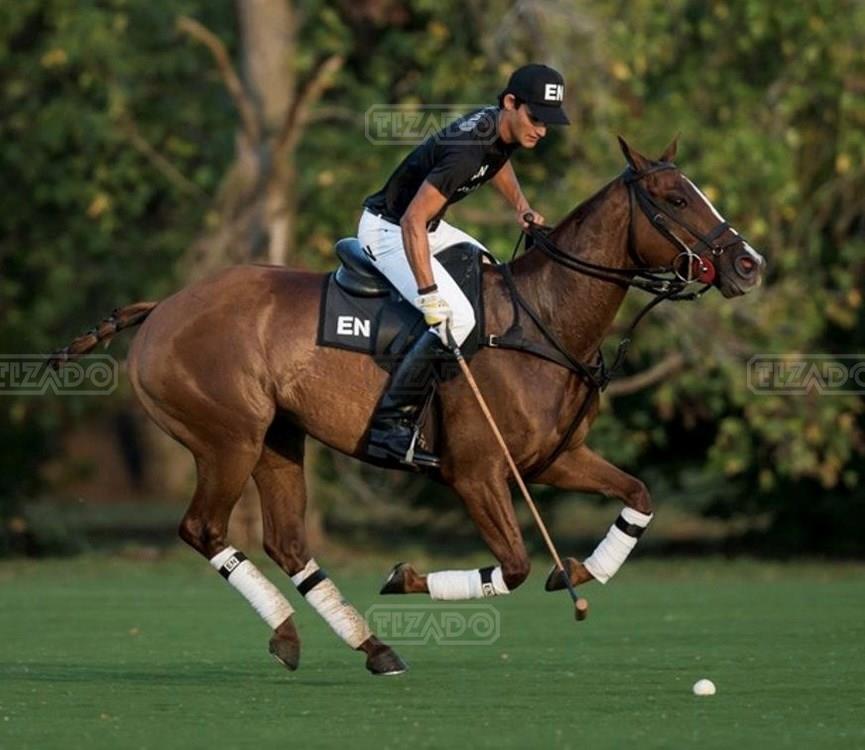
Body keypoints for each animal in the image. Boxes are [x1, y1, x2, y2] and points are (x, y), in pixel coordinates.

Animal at [51, 137, 765, 675]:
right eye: (675, 198)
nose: (749, 264)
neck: (545, 320)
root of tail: (161, 308)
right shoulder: (476, 472)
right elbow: (514, 565)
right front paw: (405, 577)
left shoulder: (552, 460)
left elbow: (638, 496)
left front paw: (578, 574)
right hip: (228, 438)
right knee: (203, 529)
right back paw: (293, 631)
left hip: (278, 439)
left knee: (287, 542)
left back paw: (366, 646)